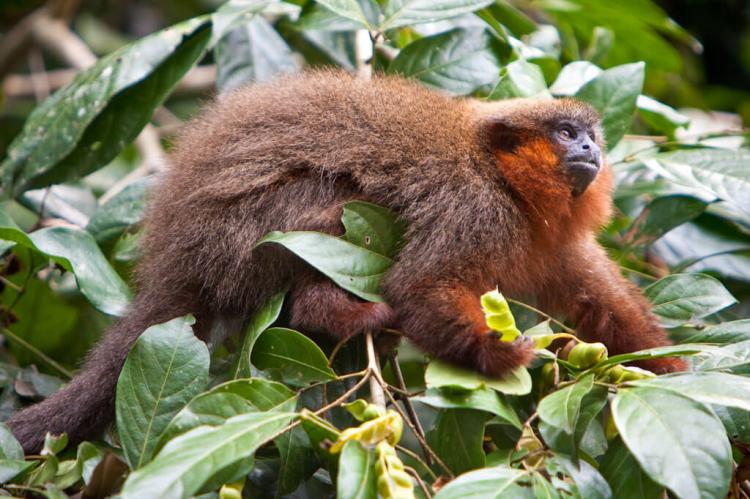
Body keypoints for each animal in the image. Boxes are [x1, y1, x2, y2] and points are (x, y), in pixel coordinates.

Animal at [7, 70, 685, 453]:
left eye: (589, 135)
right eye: (567, 134)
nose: (592, 148)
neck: (510, 188)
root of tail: (174, 255)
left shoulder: (559, 245)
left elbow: (604, 308)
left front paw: (677, 373)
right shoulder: (474, 208)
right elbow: (422, 285)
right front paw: (500, 355)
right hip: (240, 243)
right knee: (333, 204)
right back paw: (331, 313)